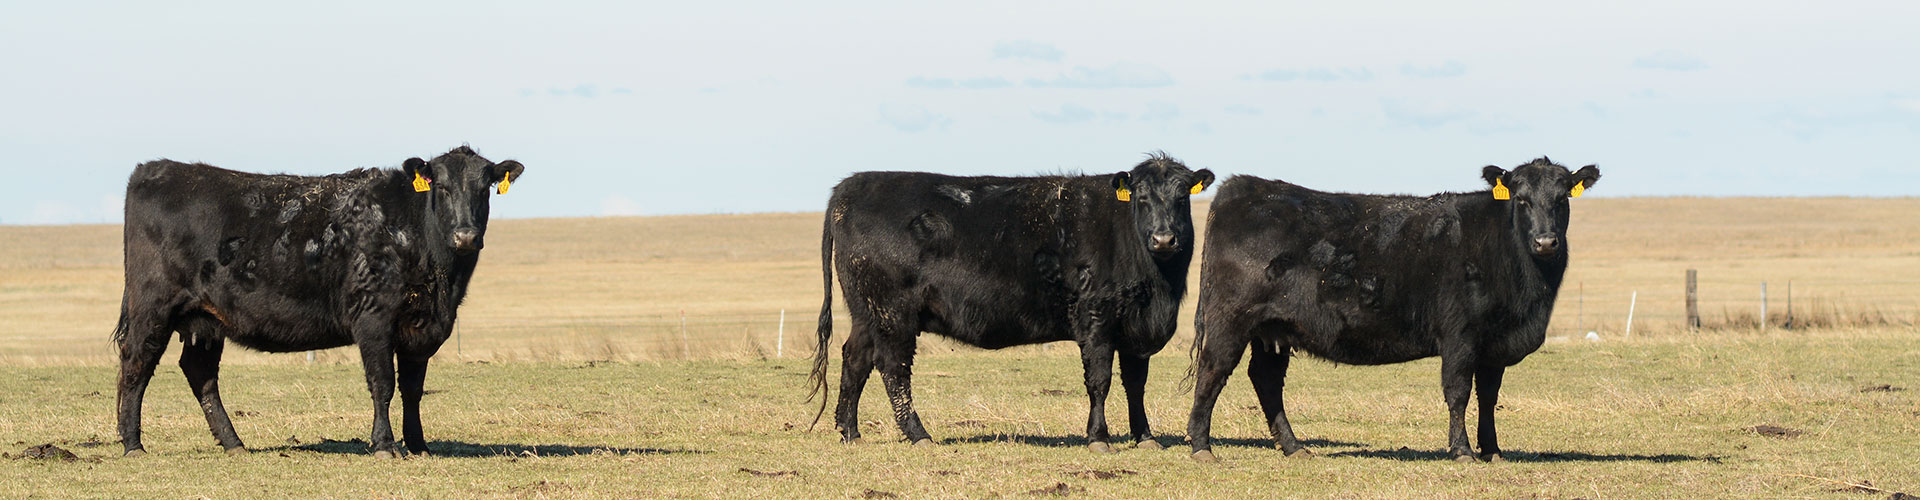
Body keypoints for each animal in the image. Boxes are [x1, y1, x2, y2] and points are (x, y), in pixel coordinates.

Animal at [112, 145, 526, 457]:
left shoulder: (421, 327)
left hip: (206, 319)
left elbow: (412, 389)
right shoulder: (373, 319)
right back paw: (133, 444)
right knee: (136, 364)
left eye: (485, 188)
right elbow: (382, 383)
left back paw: (234, 444)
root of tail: (156, 169)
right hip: (153, 308)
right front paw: (384, 445)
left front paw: (419, 445)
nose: (465, 236)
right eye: (441, 187)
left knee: (200, 373)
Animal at [810, 152, 1213, 453]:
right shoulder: (1096, 318)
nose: (1164, 239)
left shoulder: (1135, 328)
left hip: (867, 312)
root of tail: (852, 186)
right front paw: (1099, 438)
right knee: (893, 367)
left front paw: (1145, 437)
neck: (1157, 289)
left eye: (1182, 198)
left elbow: (1136, 384)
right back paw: (918, 434)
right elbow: (1100, 381)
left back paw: (850, 432)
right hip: (893, 314)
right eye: (1141, 199)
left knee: (855, 360)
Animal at [1182, 158, 1605, 463]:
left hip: (1273, 329)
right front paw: (1463, 452)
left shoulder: (1494, 343)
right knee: (1213, 371)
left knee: (1266, 380)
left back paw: (1294, 447)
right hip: (1231, 320)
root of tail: (1245, 187)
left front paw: (1493, 451)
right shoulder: (1460, 336)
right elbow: (1458, 393)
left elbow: (1488, 396)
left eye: (1562, 198)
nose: (1546, 241)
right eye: (1521, 199)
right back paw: (1202, 446)